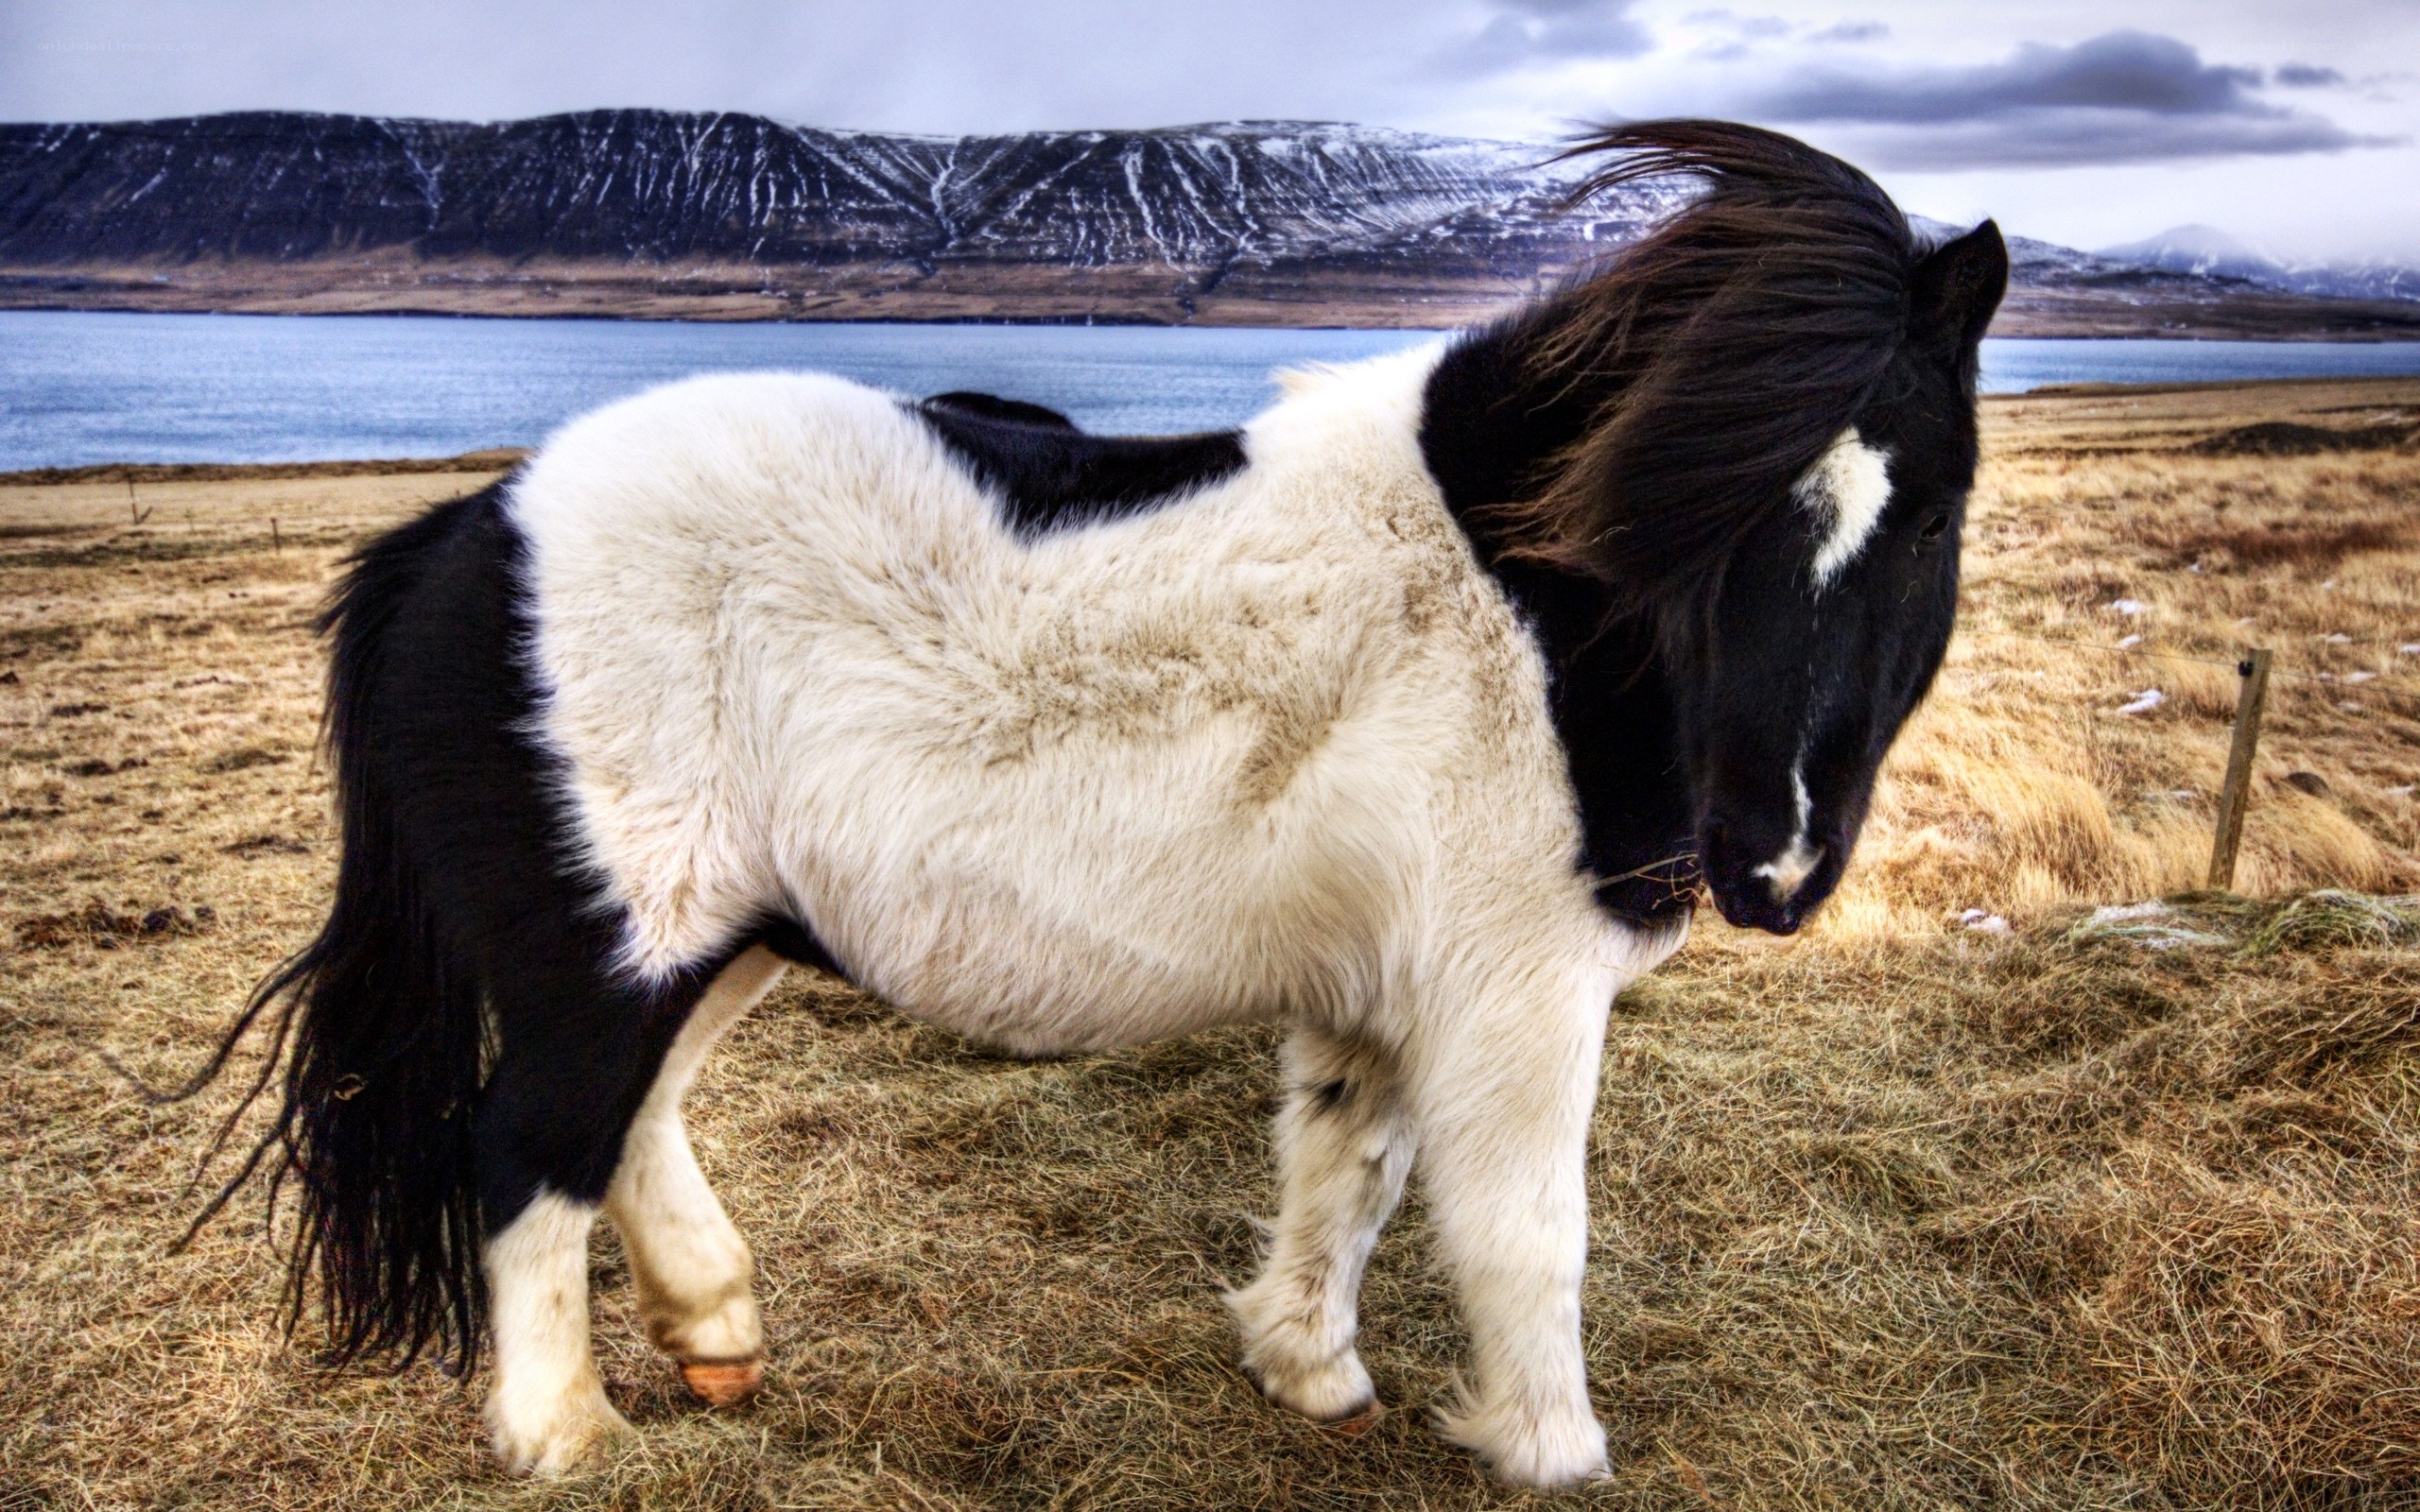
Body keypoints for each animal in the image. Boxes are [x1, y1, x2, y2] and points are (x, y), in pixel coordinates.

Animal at [184, 120, 2006, 1487]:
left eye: (1928, 516)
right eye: (1697, 507)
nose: (1772, 864)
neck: (1528, 613)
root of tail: (468, 536)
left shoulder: (1383, 990)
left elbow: (1349, 1171)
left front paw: (1307, 1371)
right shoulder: (1516, 994)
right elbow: (1524, 1233)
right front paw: (1549, 1451)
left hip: (712, 940)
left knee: (630, 1122)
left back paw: (714, 1329)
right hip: (609, 956)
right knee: (528, 1154)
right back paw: (563, 1434)